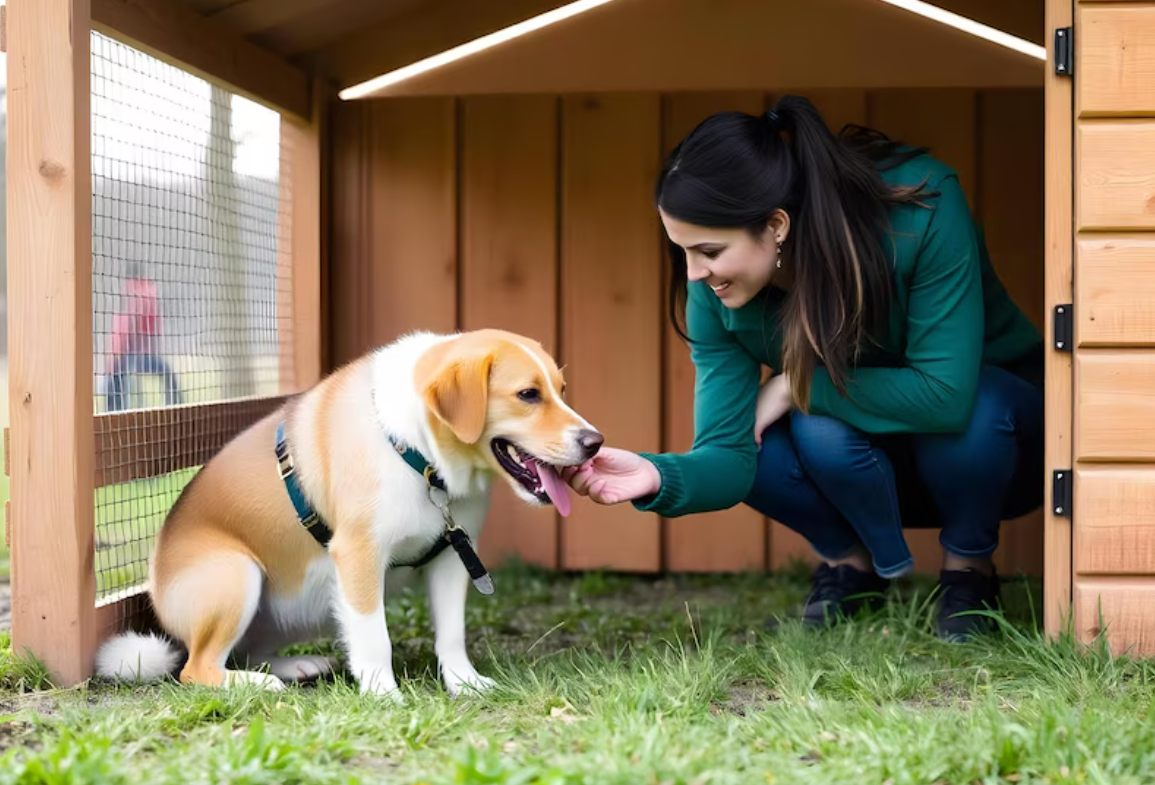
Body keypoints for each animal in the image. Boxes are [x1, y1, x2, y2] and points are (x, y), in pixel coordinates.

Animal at [93, 327, 600, 697]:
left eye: (561, 390)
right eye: (528, 394)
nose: (595, 442)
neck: (418, 455)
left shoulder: (454, 558)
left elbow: (452, 635)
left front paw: (465, 683)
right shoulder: (359, 555)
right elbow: (375, 637)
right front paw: (383, 695)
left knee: (240, 652)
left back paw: (296, 664)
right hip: (235, 573)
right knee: (198, 669)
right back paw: (260, 683)